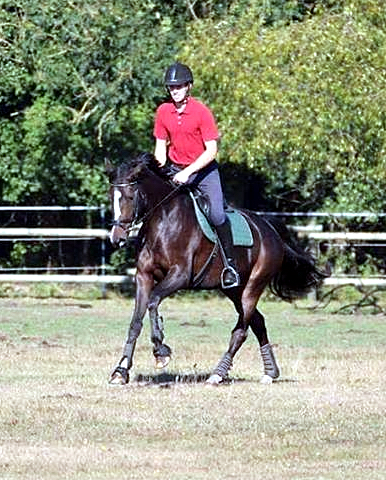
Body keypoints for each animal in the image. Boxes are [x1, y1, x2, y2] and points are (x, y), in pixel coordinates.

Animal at [106, 154, 326, 386]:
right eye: (111, 196)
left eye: (130, 197)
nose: (116, 238)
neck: (163, 221)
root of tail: (270, 230)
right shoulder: (144, 277)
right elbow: (135, 322)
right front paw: (121, 370)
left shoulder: (179, 275)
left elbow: (153, 301)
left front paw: (160, 351)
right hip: (234, 290)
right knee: (258, 322)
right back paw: (270, 372)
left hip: (252, 287)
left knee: (241, 331)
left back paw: (218, 374)